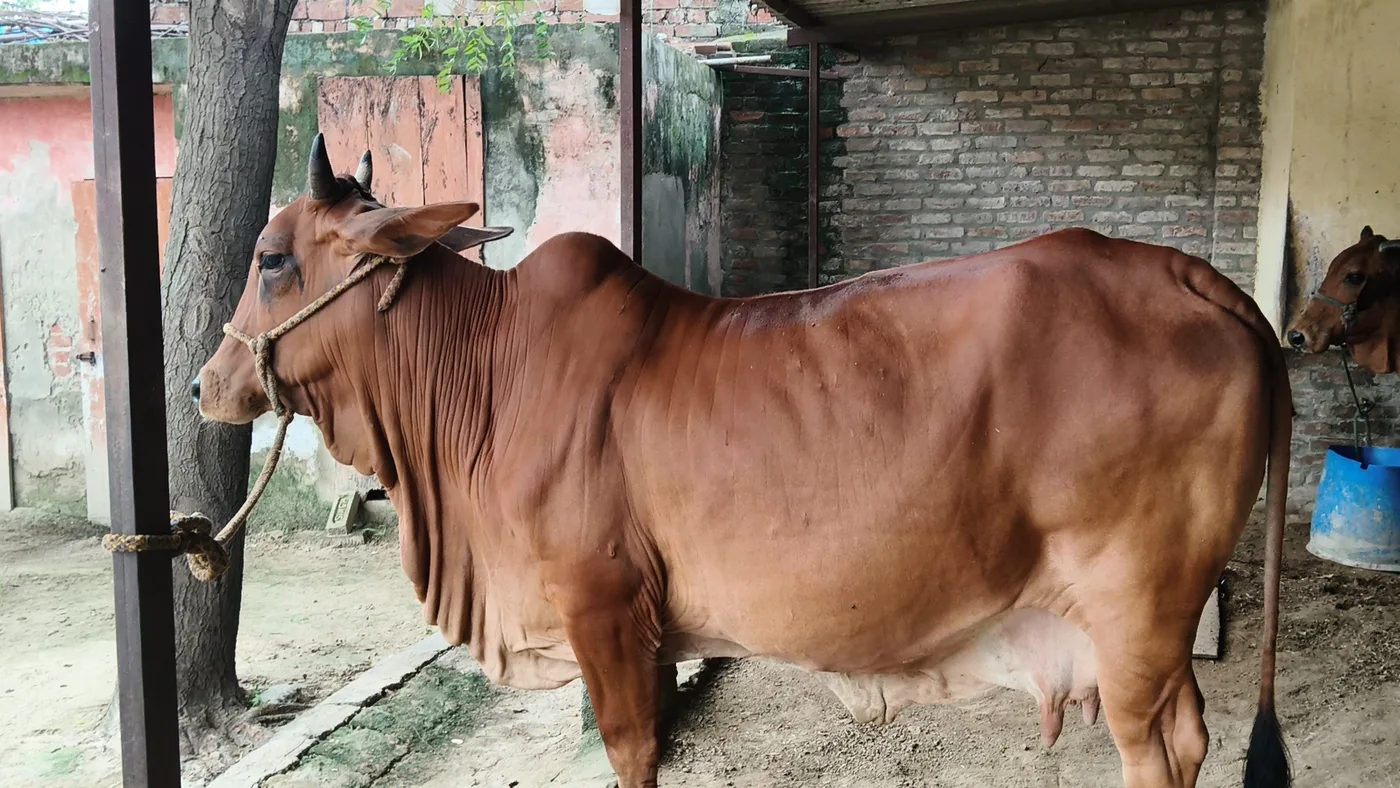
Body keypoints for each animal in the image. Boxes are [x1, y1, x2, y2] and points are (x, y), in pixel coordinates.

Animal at [195, 135, 1292, 788]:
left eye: (273, 260)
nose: (206, 384)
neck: (487, 374)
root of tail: (1189, 275)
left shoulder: (600, 606)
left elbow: (633, 753)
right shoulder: (645, 627)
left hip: (1135, 607)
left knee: (1158, 750)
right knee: (1191, 736)